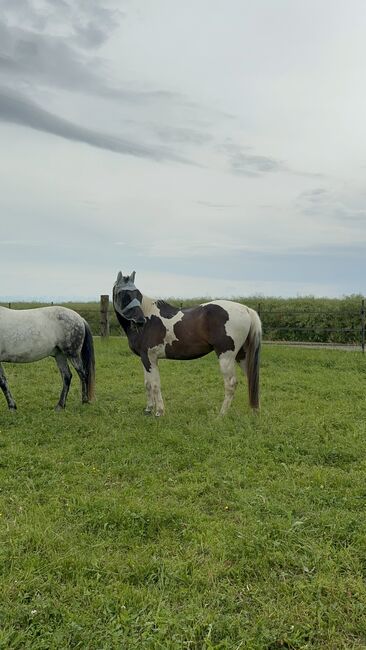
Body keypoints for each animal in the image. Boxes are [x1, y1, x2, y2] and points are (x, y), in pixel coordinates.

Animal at [113, 270, 262, 416]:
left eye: (137, 294)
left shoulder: (151, 358)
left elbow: (155, 384)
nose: (140, 320)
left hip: (226, 356)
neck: (149, 318)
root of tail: (246, 309)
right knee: (251, 379)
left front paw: (159, 412)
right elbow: (147, 384)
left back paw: (221, 415)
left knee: (231, 384)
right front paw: (148, 409)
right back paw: (254, 412)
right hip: (242, 355)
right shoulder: (145, 359)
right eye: (122, 294)